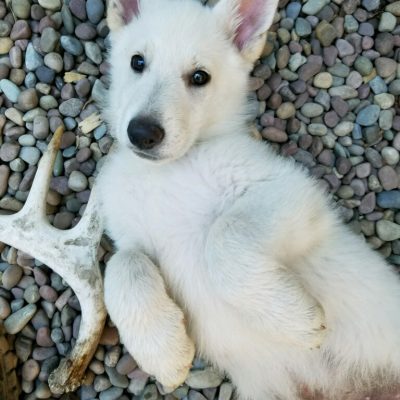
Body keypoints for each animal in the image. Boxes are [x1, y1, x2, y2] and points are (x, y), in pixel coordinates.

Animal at [98, 1, 400, 398]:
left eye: (200, 77)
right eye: (137, 61)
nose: (143, 133)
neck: (166, 172)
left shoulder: (290, 190)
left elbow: (225, 234)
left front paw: (294, 319)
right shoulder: (130, 237)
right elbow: (121, 266)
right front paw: (163, 351)